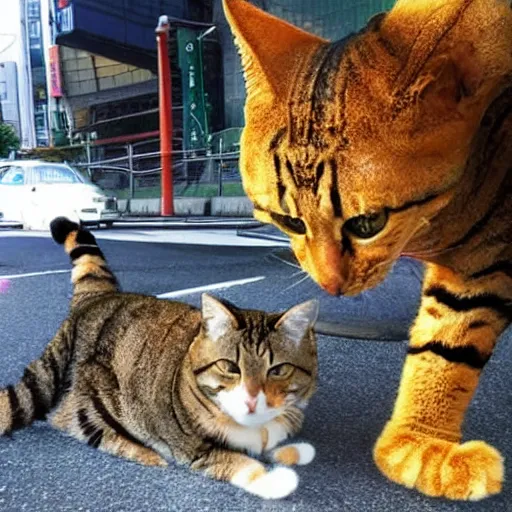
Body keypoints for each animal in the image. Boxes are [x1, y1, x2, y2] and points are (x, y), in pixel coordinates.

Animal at [0, 217, 318, 500]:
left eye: (278, 370)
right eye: (229, 367)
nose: (252, 399)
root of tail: (98, 296)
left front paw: (296, 449)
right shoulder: (194, 448)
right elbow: (240, 462)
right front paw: (276, 478)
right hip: (53, 379)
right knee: (63, 416)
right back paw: (145, 452)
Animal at [224, 0, 512, 502]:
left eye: (368, 224)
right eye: (290, 222)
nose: (329, 285)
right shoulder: (478, 257)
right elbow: (447, 339)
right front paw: (421, 442)